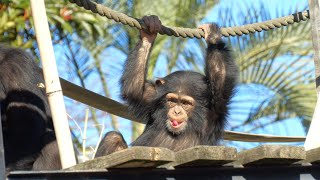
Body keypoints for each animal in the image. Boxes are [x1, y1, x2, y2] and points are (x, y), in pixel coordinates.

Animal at [95, 14, 238, 157]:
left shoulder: (216, 106)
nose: (176, 111)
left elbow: (221, 74)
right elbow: (134, 89)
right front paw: (149, 32)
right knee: (113, 137)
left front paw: (213, 37)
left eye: (185, 103)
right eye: (172, 101)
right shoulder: (151, 96)